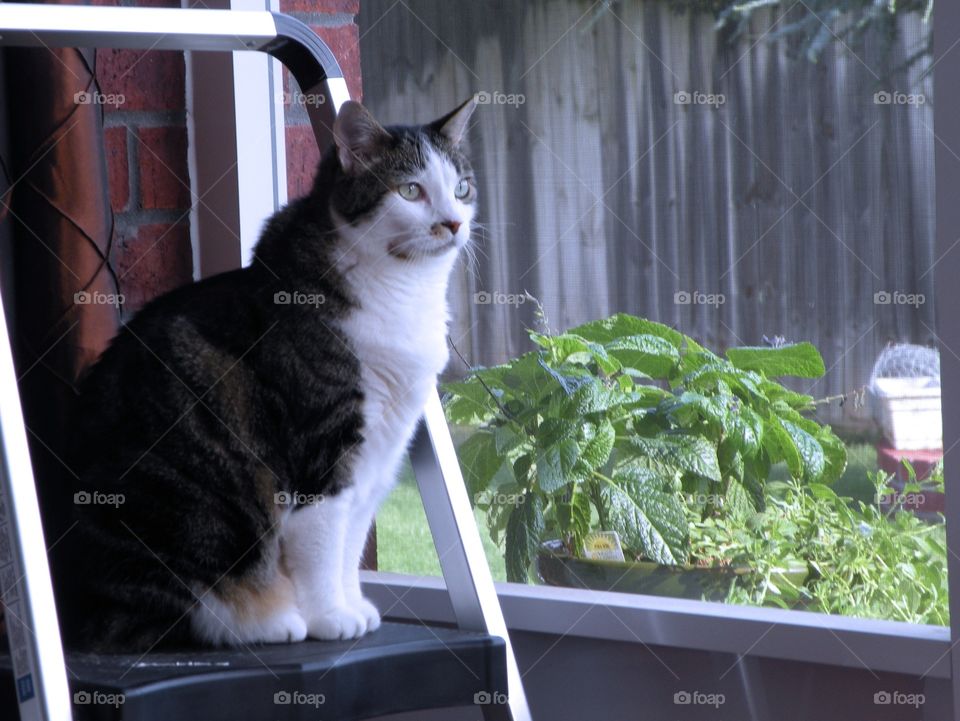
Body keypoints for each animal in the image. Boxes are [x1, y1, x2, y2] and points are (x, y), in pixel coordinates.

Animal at [58, 97, 478, 652]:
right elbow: (323, 543)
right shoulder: (323, 445)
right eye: (410, 190)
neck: (403, 289)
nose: (453, 223)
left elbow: (350, 541)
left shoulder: (377, 453)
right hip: (186, 518)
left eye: (462, 188)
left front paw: (352, 607)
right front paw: (330, 617)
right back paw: (268, 620)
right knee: (155, 620)